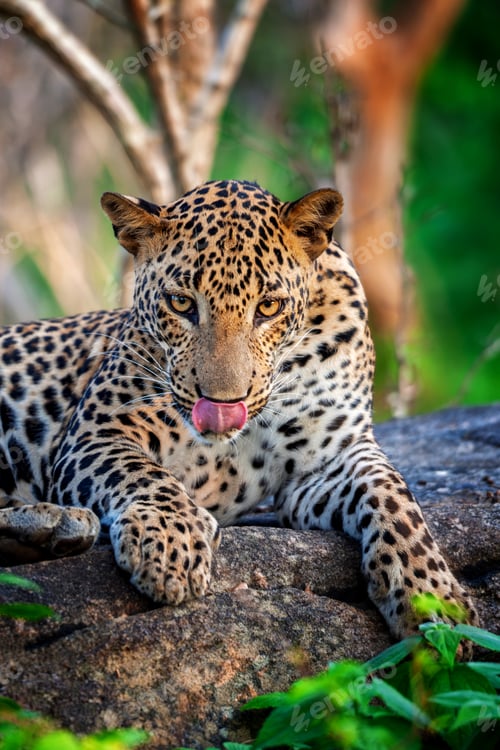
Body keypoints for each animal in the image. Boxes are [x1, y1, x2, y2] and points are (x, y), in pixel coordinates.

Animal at [0, 179, 478, 641]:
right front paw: (171, 541)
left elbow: (393, 494)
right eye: (180, 303)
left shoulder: (329, 459)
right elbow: (142, 473)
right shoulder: (96, 433)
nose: (224, 404)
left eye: (268, 307)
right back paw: (56, 525)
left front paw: (432, 596)